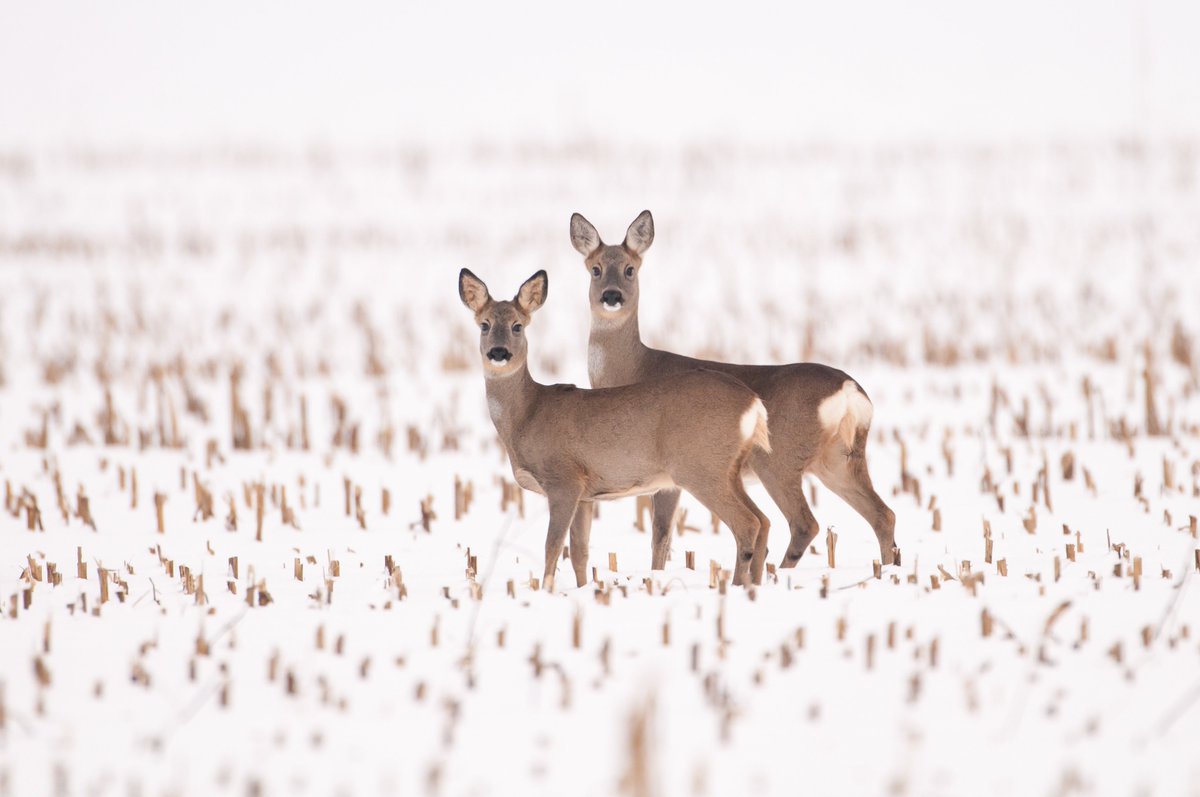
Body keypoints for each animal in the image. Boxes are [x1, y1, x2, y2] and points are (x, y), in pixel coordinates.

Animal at [458, 267, 773, 590]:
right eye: (484, 325)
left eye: (517, 326)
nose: (498, 352)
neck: (527, 416)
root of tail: (753, 403)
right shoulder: (586, 494)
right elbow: (580, 552)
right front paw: (583, 589)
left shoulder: (564, 480)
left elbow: (553, 546)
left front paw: (546, 590)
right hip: (728, 469)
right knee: (764, 520)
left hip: (701, 467)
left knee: (747, 523)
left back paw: (735, 586)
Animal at [570, 210, 898, 572]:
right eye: (595, 268)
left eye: (630, 268)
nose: (611, 296)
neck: (634, 368)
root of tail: (850, 391)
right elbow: (663, 537)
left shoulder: (668, 475)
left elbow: (659, 534)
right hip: (839, 460)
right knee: (883, 514)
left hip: (779, 460)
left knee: (803, 523)